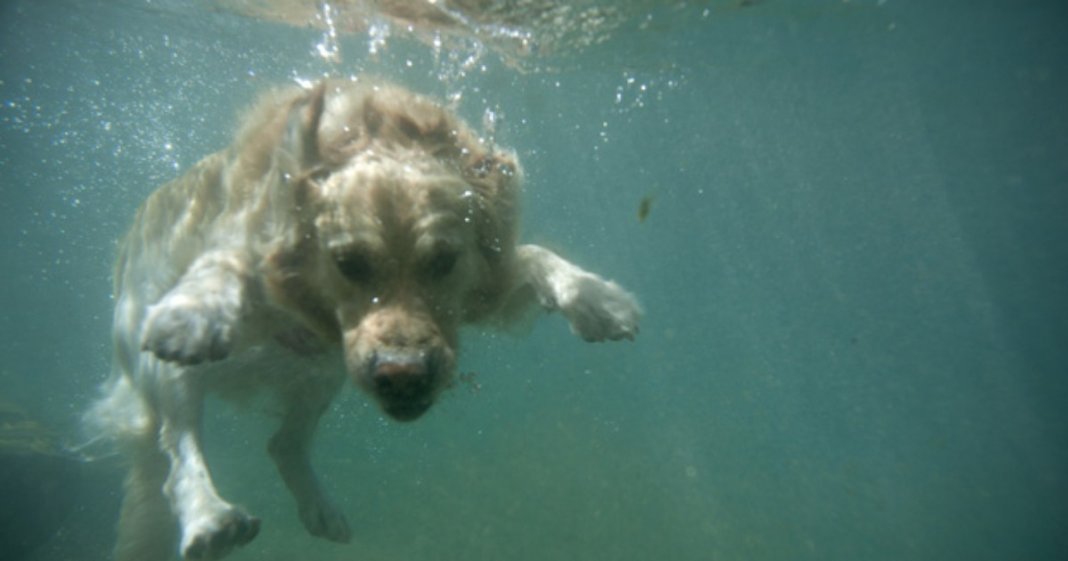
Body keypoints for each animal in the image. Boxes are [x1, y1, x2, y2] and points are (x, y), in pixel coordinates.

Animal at [87, 79, 636, 559]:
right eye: (348, 263)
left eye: (443, 261)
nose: (403, 374)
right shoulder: (258, 247)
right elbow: (225, 264)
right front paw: (193, 314)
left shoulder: (487, 285)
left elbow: (532, 256)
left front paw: (598, 300)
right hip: (166, 377)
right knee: (177, 453)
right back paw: (210, 519)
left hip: (319, 377)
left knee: (283, 443)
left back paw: (320, 510)